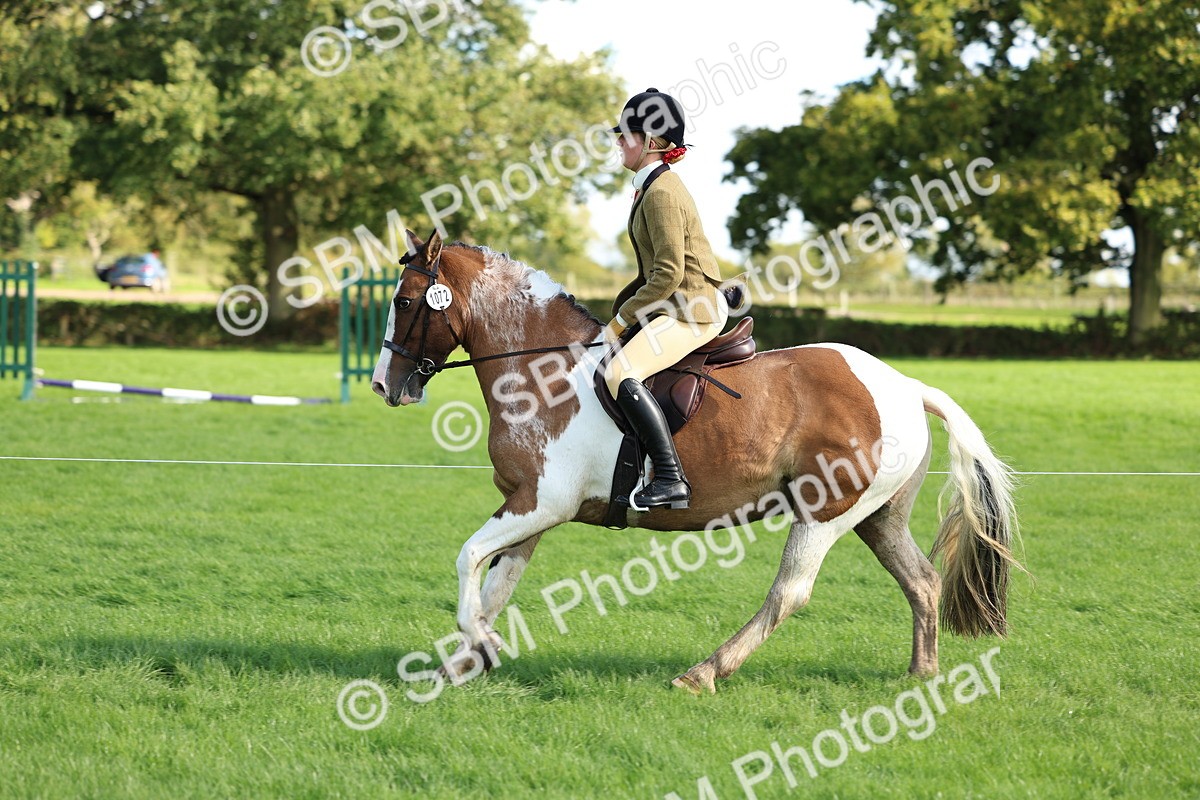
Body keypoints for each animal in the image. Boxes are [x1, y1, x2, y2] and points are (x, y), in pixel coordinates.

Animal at [371, 230, 1020, 694]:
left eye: (404, 300)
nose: (382, 385)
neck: (540, 371)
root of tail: (906, 385)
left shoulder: (540, 503)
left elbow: (469, 560)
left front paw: (477, 649)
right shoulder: (530, 508)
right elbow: (495, 584)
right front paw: (461, 665)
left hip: (824, 513)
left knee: (790, 592)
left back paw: (704, 673)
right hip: (877, 517)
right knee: (922, 581)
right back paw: (922, 675)